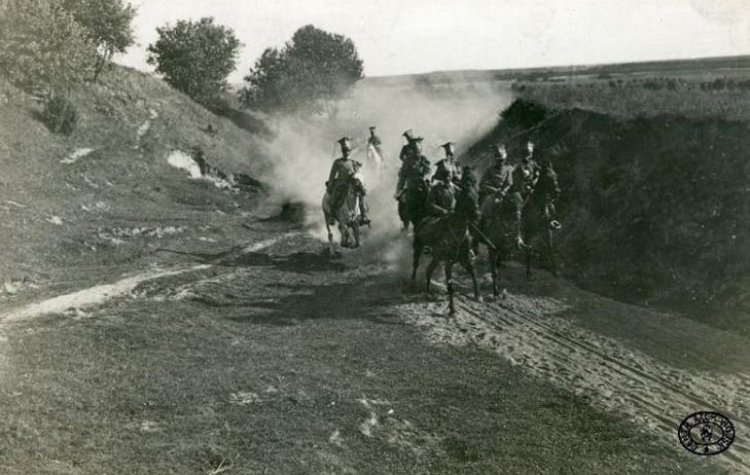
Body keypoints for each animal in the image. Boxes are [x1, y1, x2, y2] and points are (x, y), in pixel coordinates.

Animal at [412, 177, 482, 314]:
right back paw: (413, 282)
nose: (478, 215)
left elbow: (473, 273)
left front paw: (477, 295)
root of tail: (423, 220)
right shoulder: (448, 263)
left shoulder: (465, 259)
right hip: (418, 247)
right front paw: (452, 309)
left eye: (476, 196)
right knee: (416, 264)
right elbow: (450, 286)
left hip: (436, 258)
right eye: (467, 198)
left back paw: (429, 293)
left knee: (429, 270)